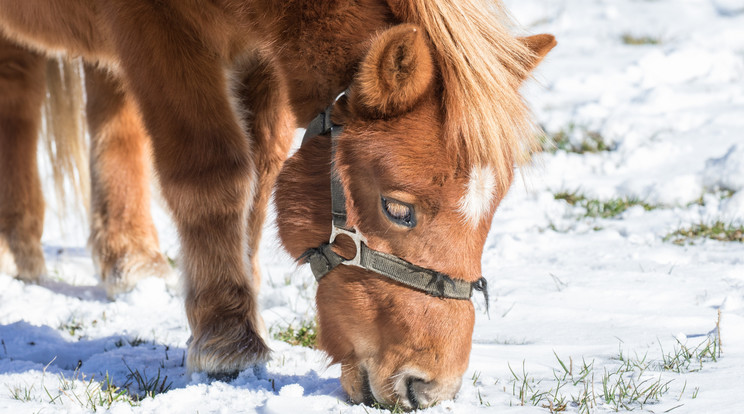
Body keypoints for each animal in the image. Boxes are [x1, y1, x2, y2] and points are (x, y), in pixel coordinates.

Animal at [0, 0, 552, 408]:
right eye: (398, 208)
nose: (431, 388)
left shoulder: (260, 54)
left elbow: (260, 171)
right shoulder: (157, 32)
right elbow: (213, 172)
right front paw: (227, 338)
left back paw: (130, 260)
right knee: (19, 98)